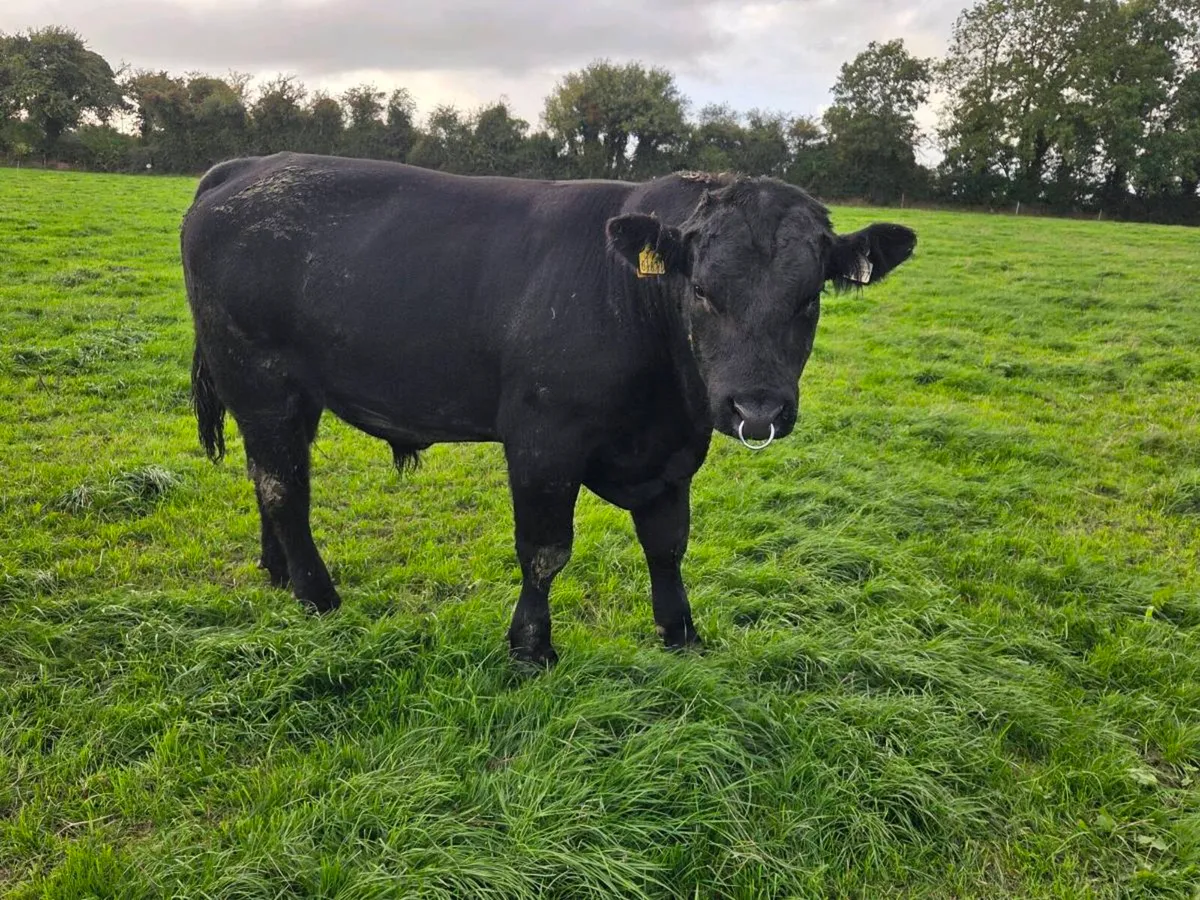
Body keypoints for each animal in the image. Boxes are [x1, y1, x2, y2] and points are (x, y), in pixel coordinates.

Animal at [181, 152, 917, 665]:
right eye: (703, 291)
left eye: (809, 297)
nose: (756, 407)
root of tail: (246, 166)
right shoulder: (542, 439)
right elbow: (544, 550)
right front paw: (531, 646)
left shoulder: (673, 451)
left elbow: (667, 544)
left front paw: (680, 633)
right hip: (261, 380)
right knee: (284, 487)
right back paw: (317, 595)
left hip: (287, 397)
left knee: (269, 477)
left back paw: (278, 573)